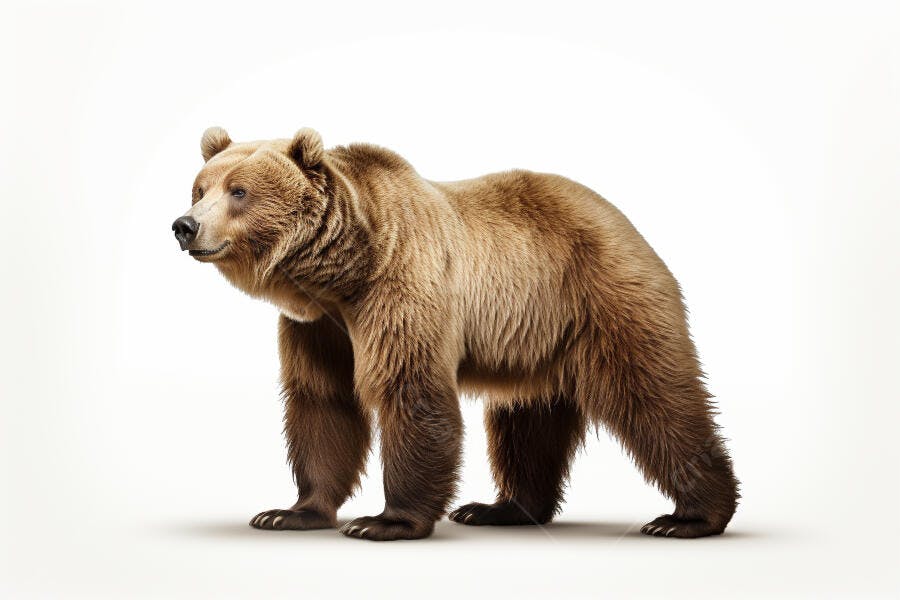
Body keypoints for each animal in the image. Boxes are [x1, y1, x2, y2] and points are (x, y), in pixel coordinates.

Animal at [172, 126, 739, 541]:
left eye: (239, 191)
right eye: (200, 188)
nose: (184, 225)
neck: (340, 277)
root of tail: (620, 217)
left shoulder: (402, 288)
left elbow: (411, 390)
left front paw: (385, 521)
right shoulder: (318, 328)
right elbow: (322, 401)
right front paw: (290, 512)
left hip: (603, 296)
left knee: (654, 395)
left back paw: (690, 517)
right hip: (536, 337)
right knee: (526, 422)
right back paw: (503, 507)